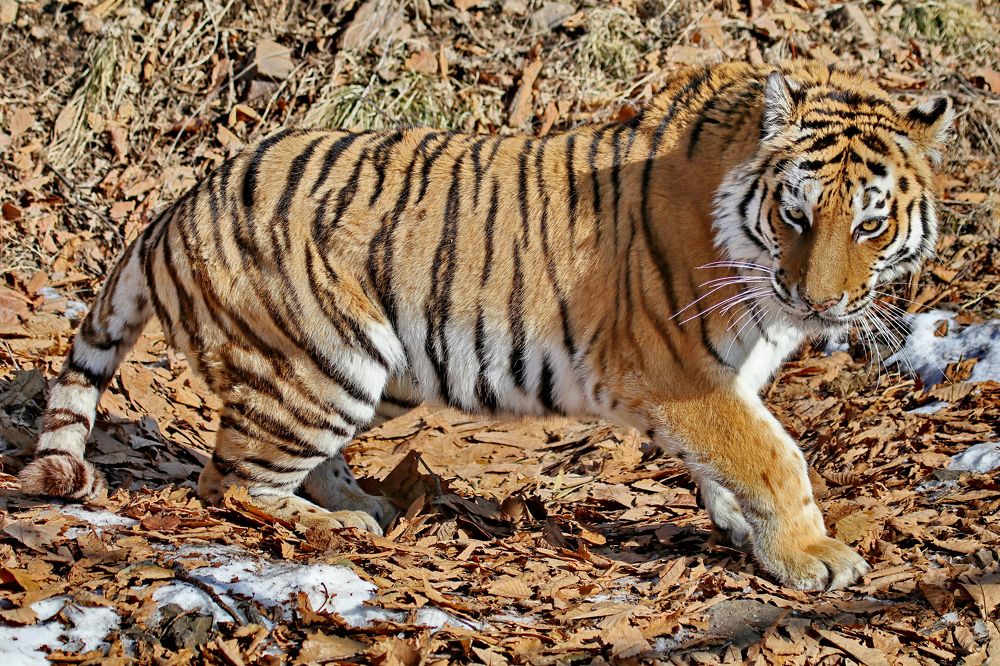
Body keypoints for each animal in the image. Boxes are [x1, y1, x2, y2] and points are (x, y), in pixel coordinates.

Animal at [18, 60, 952, 590]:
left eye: (870, 225)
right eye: (796, 214)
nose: (819, 304)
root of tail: (175, 207)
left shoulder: (722, 381)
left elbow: (736, 464)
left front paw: (756, 541)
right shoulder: (679, 371)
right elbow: (771, 456)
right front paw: (814, 555)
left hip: (376, 373)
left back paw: (361, 500)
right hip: (322, 362)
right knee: (227, 483)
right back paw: (339, 526)